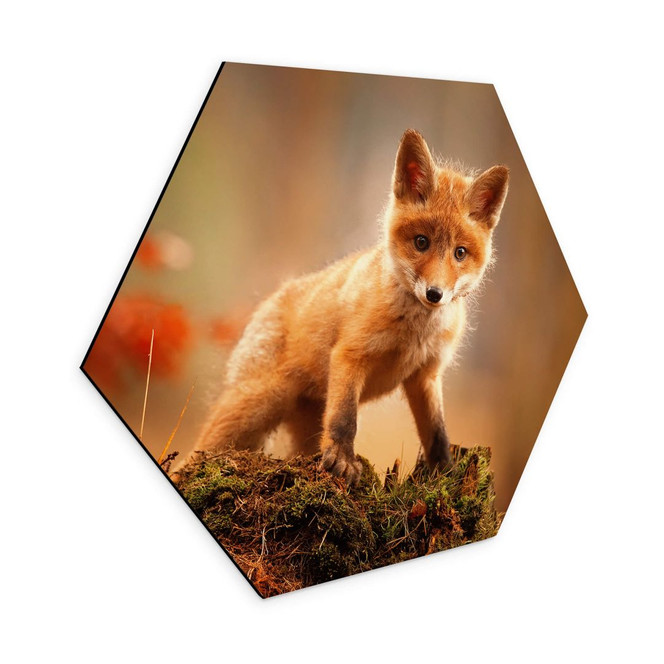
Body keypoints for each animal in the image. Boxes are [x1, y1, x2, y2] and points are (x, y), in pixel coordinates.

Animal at [185, 129, 508, 486]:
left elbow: (437, 433)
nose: (434, 294)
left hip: (301, 425)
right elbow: (344, 419)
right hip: (256, 405)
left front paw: (444, 473)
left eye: (460, 253)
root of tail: (270, 299)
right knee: (195, 453)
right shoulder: (350, 355)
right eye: (421, 242)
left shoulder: (426, 374)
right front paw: (342, 459)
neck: (414, 332)